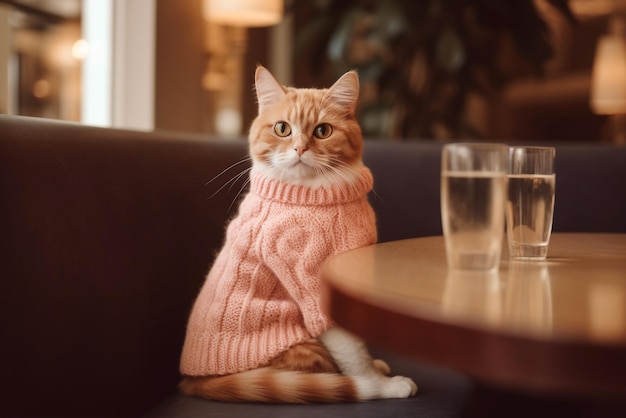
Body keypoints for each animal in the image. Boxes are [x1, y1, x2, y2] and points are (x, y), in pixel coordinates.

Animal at [178, 65, 416, 402]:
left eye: (322, 131)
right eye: (282, 128)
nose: (300, 148)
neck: (314, 192)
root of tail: (194, 380)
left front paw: (378, 368)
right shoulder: (314, 283)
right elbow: (354, 353)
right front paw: (383, 384)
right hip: (300, 346)